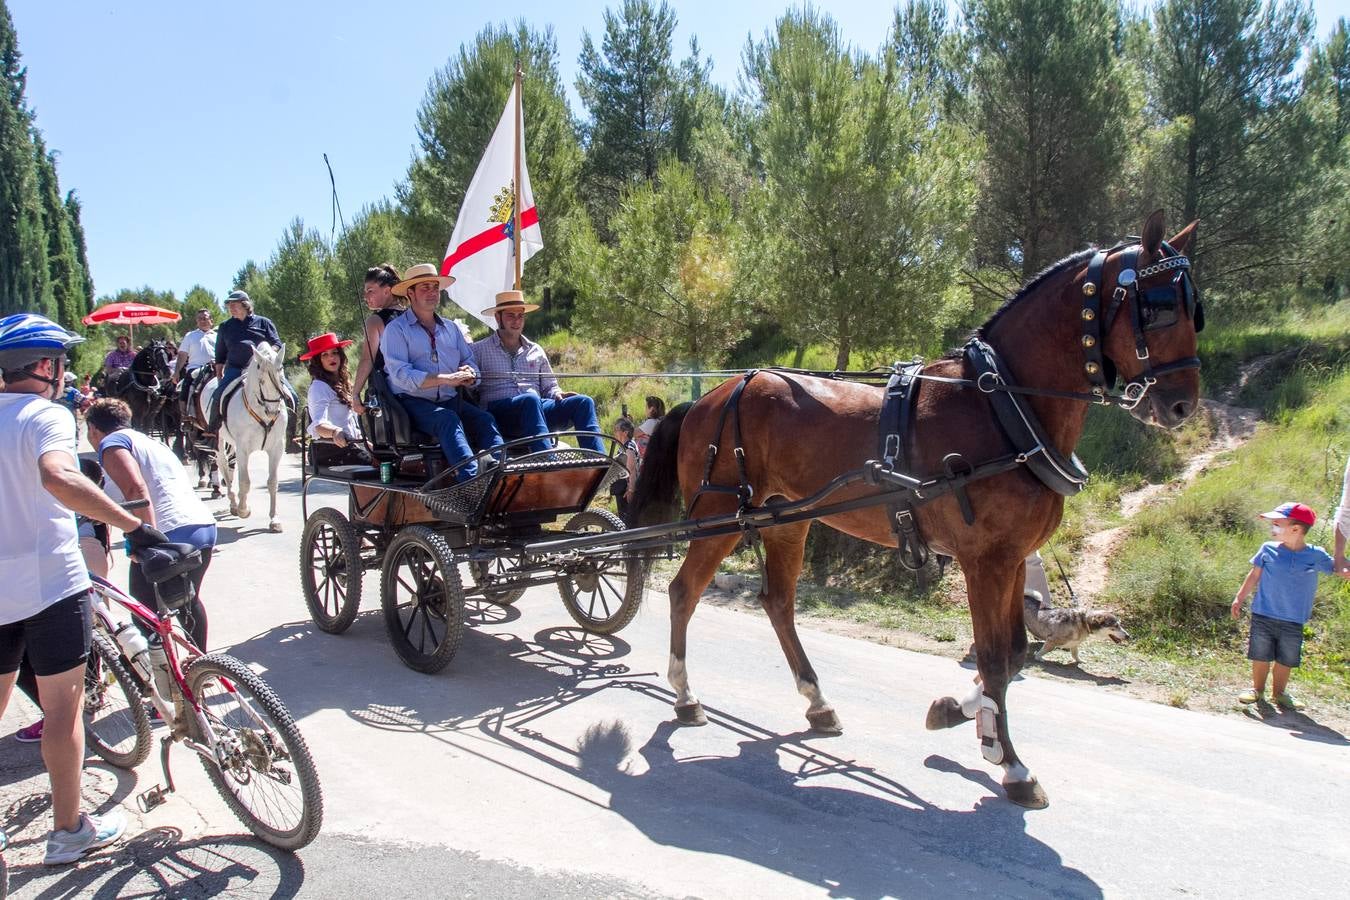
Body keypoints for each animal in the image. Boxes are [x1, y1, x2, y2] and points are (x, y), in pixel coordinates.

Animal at [207, 342, 287, 528]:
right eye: (261, 379)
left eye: (280, 371)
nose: (273, 411)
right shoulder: (243, 449)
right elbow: (244, 482)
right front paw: (244, 510)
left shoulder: (277, 448)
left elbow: (272, 482)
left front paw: (274, 519)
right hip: (220, 441)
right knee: (224, 465)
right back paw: (233, 504)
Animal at [631, 211, 1204, 809]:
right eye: (1159, 305)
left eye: (1195, 307)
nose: (1182, 404)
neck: (1001, 405)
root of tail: (707, 398)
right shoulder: (985, 560)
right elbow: (993, 657)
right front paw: (1012, 764)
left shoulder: (1013, 558)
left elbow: (1015, 653)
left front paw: (969, 719)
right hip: (718, 518)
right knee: (684, 592)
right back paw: (686, 695)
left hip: (786, 521)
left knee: (779, 604)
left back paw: (817, 702)